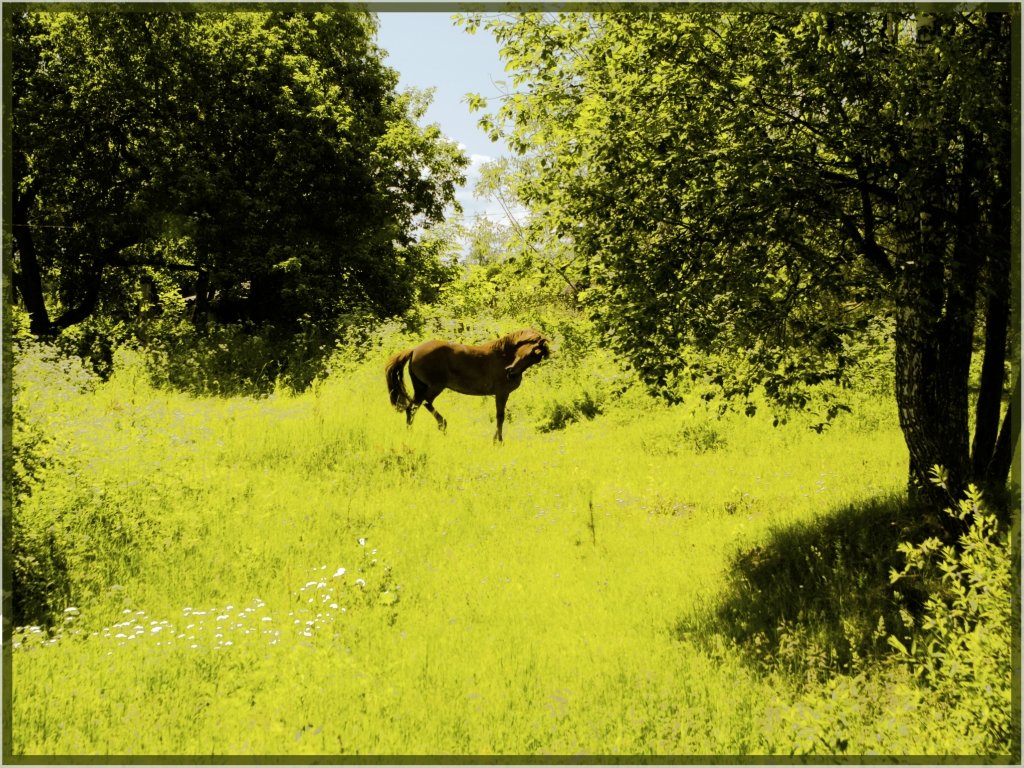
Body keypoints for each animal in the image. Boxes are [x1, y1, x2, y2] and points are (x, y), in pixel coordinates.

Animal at [385, 327, 548, 442]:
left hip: (420, 387)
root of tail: (414, 350)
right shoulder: (502, 393)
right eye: (528, 351)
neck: (503, 356)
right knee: (423, 404)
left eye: (534, 356)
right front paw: (498, 441)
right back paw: (442, 425)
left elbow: (500, 416)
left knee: (412, 409)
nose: (510, 370)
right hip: (435, 386)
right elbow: (500, 416)